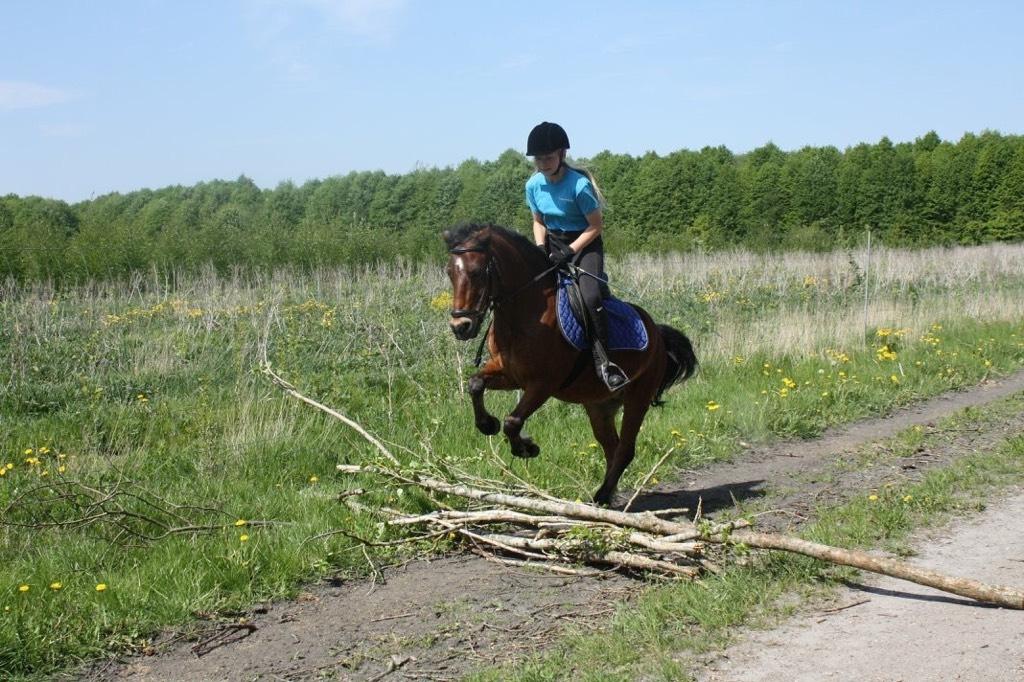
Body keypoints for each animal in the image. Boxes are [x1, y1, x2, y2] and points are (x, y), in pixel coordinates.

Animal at [440, 223, 696, 503]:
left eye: (476, 272)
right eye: (450, 272)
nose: (460, 326)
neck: (525, 313)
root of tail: (657, 334)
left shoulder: (543, 384)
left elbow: (513, 421)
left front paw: (526, 447)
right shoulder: (510, 374)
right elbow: (475, 384)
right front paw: (487, 424)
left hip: (637, 398)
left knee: (626, 449)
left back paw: (601, 496)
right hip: (599, 406)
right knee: (612, 447)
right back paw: (606, 495)